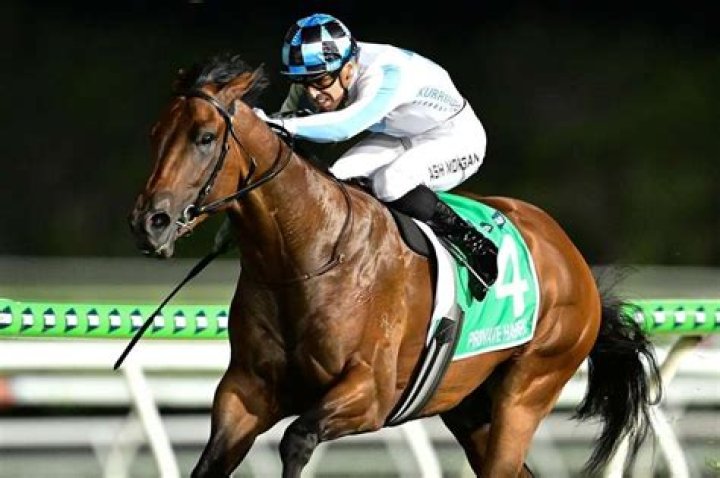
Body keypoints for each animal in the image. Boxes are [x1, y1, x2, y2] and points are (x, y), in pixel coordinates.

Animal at [128, 53, 661, 478]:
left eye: (204, 137)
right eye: (154, 134)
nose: (149, 222)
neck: (305, 255)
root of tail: (570, 257)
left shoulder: (371, 392)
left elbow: (297, 439)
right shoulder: (246, 391)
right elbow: (210, 462)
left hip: (529, 389)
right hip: (468, 406)